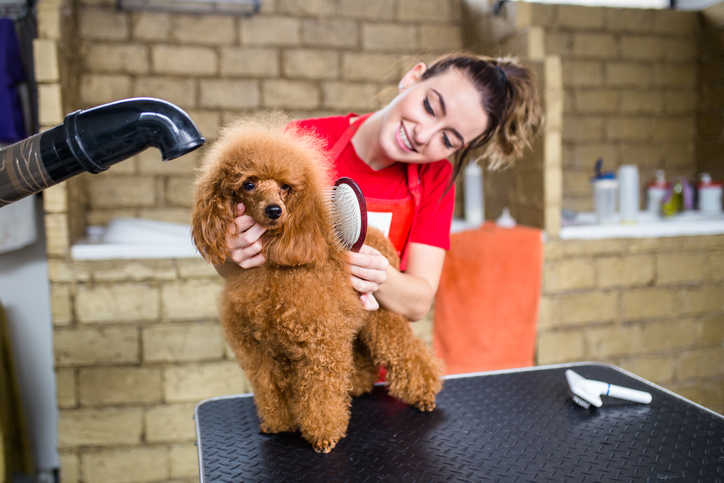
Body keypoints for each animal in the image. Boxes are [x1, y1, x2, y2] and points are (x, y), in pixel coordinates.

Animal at [191, 118, 442, 454]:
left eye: (285, 188)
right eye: (249, 184)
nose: (274, 210)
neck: (272, 270)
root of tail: (377, 236)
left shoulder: (320, 343)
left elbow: (320, 393)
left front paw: (324, 435)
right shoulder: (258, 351)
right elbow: (269, 388)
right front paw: (278, 424)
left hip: (381, 316)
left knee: (406, 352)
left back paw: (425, 393)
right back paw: (359, 384)